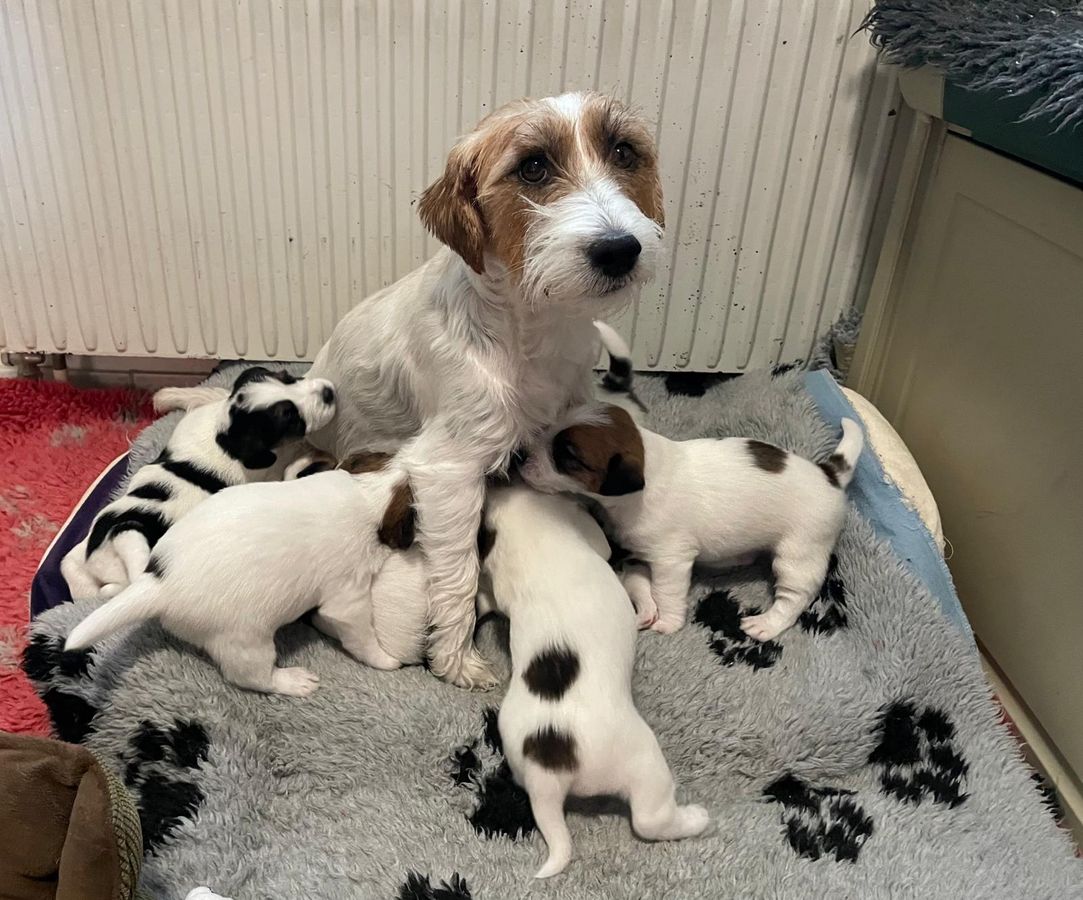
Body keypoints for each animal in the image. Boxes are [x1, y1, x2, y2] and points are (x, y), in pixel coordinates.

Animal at [60, 367, 336, 603]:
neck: (223, 433)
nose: (328, 392)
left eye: (287, 377)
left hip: (82, 552)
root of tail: (100, 551)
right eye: (290, 418)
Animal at [64, 465, 416, 695]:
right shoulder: (348, 598)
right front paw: (386, 661)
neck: (372, 491)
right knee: (252, 678)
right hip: (247, 641)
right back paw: (292, 682)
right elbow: (363, 638)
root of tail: (160, 586)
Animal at [304, 91, 665, 688]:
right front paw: (456, 663)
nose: (619, 250)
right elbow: (456, 574)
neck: (534, 328)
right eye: (534, 166)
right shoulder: (447, 471)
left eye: (623, 152)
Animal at [477, 485, 709, 878]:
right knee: (649, 819)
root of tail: (547, 772)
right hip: (643, 761)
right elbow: (605, 548)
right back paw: (696, 818)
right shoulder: (590, 535)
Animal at [521, 406, 864, 640]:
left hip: (799, 553)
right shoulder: (640, 555)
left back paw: (767, 624)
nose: (519, 456)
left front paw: (668, 622)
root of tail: (829, 475)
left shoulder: (671, 560)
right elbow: (642, 584)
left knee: (795, 596)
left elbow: (666, 592)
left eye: (566, 456)